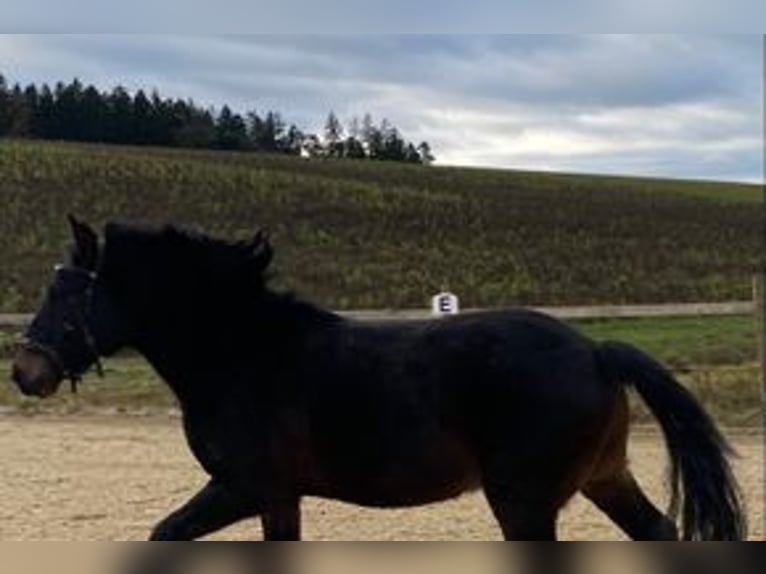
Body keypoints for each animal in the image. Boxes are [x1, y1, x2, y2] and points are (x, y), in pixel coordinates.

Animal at [10, 218, 744, 544]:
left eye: (65, 293)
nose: (24, 371)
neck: (241, 354)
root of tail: (595, 350)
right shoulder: (275, 496)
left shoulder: (247, 487)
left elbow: (165, 534)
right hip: (604, 477)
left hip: (526, 503)